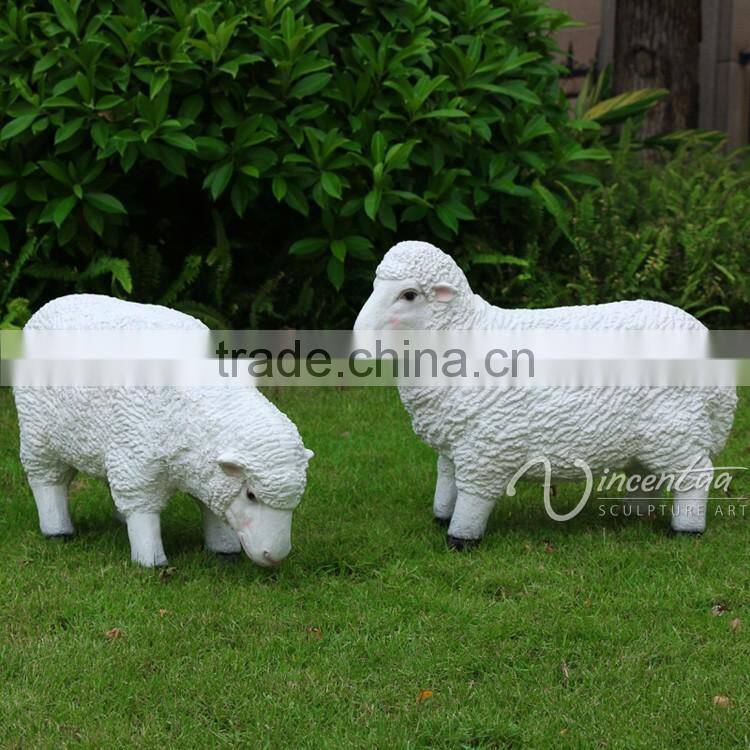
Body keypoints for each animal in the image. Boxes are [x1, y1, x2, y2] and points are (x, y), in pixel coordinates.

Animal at [13, 294, 313, 568]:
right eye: (250, 495)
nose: (274, 556)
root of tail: (53, 303)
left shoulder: (197, 470)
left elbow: (211, 510)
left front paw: (224, 550)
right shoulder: (136, 465)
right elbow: (143, 513)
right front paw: (150, 561)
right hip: (37, 435)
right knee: (47, 482)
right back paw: (57, 530)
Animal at [354, 241, 737, 547]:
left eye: (409, 294)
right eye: (375, 285)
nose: (358, 338)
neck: (464, 338)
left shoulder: (485, 448)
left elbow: (473, 496)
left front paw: (460, 538)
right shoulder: (452, 444)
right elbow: (446, 483)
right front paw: (441, 517)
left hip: (675, 429)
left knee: (696, 476)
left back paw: (686, 529)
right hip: (653, 437)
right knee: (646, 475)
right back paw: (634, 514)